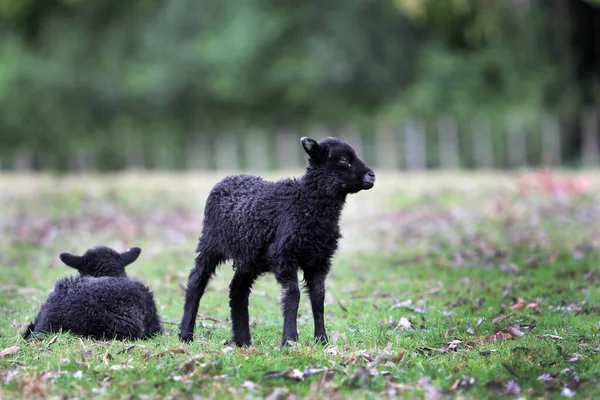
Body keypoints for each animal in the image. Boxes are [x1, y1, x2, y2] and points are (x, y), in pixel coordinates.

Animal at [179, 137, 376, 346]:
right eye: (344, 159)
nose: (372, 175)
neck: (306, 203)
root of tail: (226, 178)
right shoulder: (285, 256)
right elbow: (293, 295)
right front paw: (289, 340)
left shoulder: (319, 260)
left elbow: (318, 297)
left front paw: (321, 339)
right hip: (210, 243)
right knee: (196, 280)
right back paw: (185, 334)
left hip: (250, 257)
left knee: (237, 289)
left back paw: (243, 341)